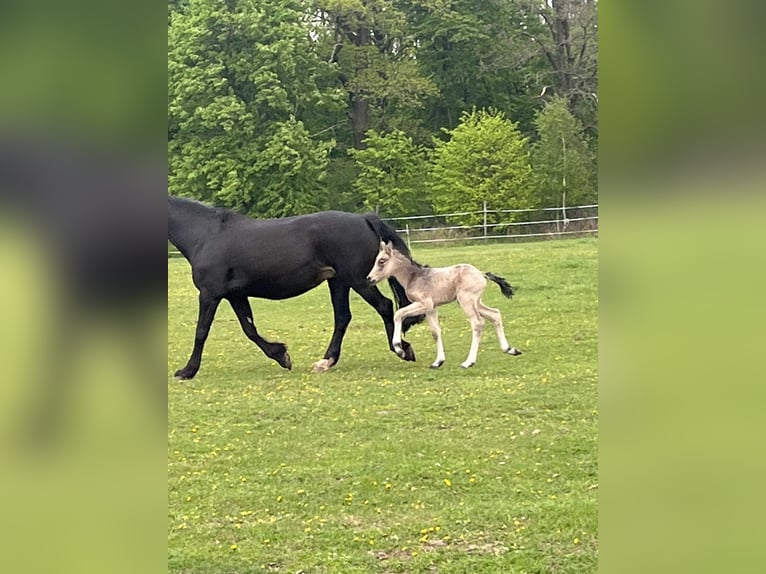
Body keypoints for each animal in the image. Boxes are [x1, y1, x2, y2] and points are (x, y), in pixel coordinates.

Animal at [168, 196, 426, 380]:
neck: (206, 235)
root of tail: (364, 219)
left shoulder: (210, 294)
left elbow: (201, 331)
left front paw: (187, 371)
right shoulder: (235, 295)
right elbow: (249, 329)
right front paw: (281, 355)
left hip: (359, 280)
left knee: (384, 306)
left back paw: (401, 349)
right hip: (339, 281)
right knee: (343, 317)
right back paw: (325, 362)